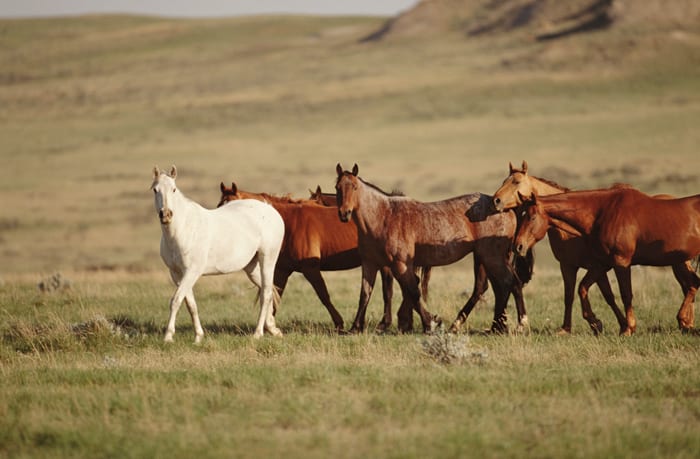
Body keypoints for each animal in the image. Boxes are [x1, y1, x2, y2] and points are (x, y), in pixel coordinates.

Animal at [152, 166, 285, 342]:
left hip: (267, 260)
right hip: (252, 267)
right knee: (265, 290)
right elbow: (190, 304)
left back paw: (257, 333)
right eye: (155, 190)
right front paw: (198, 336)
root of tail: (270, 209)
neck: (183, 229)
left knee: (267, 293)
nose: (166, 214)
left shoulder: (192, 271)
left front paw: (168, 336)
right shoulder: (177, 274)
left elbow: (176, 300)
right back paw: (272, 329)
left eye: (173, 189)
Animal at [218, 182, 398, 333]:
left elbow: (324, 296)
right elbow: (275, 295)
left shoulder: (310, 269)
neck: (288, 223)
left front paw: (339, 323)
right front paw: (270, 327)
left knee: (384, 290)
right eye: (219, 206)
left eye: (232, 207)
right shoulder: (283, 271)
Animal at [335, 163, 533, 334]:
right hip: (487, 258)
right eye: (337, 187)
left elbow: (413, 292)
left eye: (354, 187)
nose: (344, 214)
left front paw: (430, 323)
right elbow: (365, 294)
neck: (384, 217)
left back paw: (509, 325)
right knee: (504, 285)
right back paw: (498, 326)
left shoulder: (400, 264)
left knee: (506, 283)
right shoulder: (370, 264)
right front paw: (355, 327)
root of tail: (504, 208)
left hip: (492, 258)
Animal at [513, 188, 700, 335]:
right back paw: (684, 321)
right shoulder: (602, 264)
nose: (518, 246)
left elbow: (625, 294)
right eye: (520, 216)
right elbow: (583, 288)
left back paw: (683, 320)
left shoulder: (621, 263)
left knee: (691, 284)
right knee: (693, 283)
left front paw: (628, 328)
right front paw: (595, 322)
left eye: (531, 217)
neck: (603, 213)